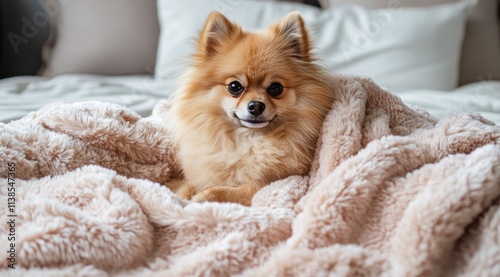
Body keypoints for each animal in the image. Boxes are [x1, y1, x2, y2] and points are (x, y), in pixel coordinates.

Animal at [166, 10, 334, 205]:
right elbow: (188, 185)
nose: (256, 106)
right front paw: (181, 195)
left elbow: (224, 191)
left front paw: (201, 197)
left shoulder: (267, 183)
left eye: (276, 88)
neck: (248, 142)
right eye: (235, 87)